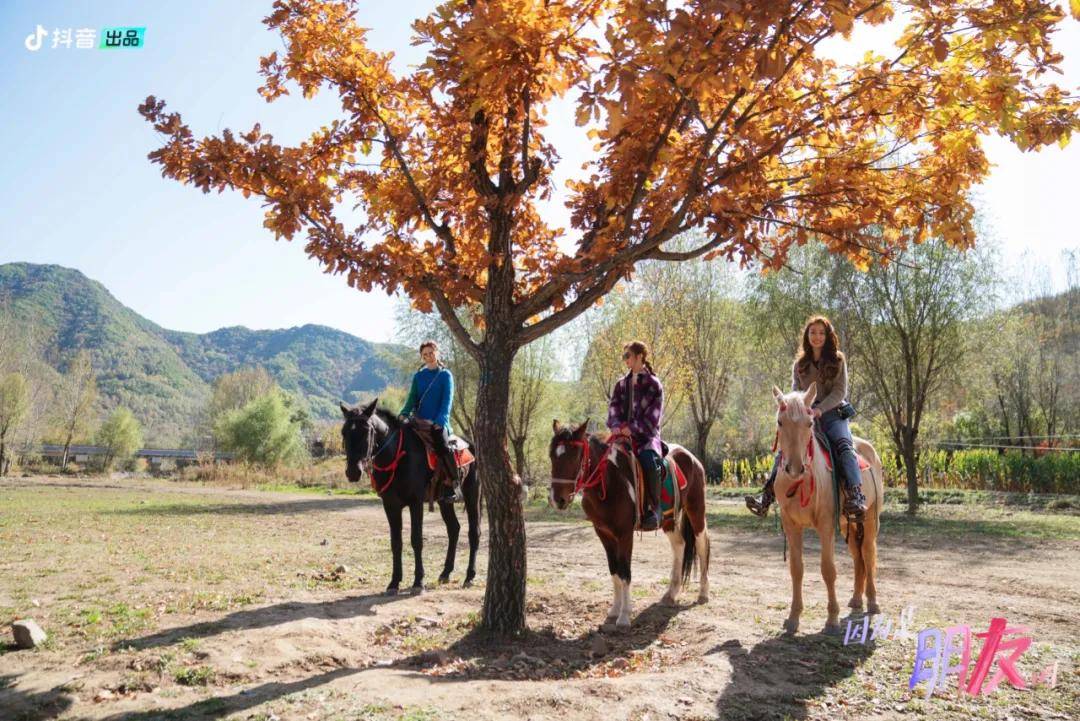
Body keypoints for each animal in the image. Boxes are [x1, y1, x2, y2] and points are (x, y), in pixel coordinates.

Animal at [339, 397, 479, 595]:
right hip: (444, 502)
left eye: (366, 431)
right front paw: (394, 582)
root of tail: (469, 444)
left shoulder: (415, 503)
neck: (398, 456)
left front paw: (418, 581)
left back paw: (469, 576)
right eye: (344, 432)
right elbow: (396, 542)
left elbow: (416, 540)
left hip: (472, 493)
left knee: (474, 531)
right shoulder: (390, 505)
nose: (352, 472)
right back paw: (445, 573)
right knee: (454, 529)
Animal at [548, 418, 708, 626]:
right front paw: (614, 611)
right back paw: (670, 594)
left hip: (696, 510)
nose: (558, 499)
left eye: (575, 457)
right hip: (668, 519)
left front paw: (624, 616)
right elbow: (614, 570)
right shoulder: (604, 534)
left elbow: (625, 571)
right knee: (679, 545)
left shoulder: (624, 534)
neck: (609, 483)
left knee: (702, 544)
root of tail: (691, 457)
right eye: (552, 456)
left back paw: (703, 593)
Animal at [777, 379, 885, 634]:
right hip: (850, 524)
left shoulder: (826, 525)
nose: (795, 468)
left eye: (809, 423)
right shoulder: (791, 525)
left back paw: (872, 602)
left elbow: (828, 570)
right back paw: (855, 600)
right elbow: (796, 569)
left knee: (868, 554)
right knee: (858, 558)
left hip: (870, 520)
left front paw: (832, 619)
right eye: (780, 422)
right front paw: (793, 618)